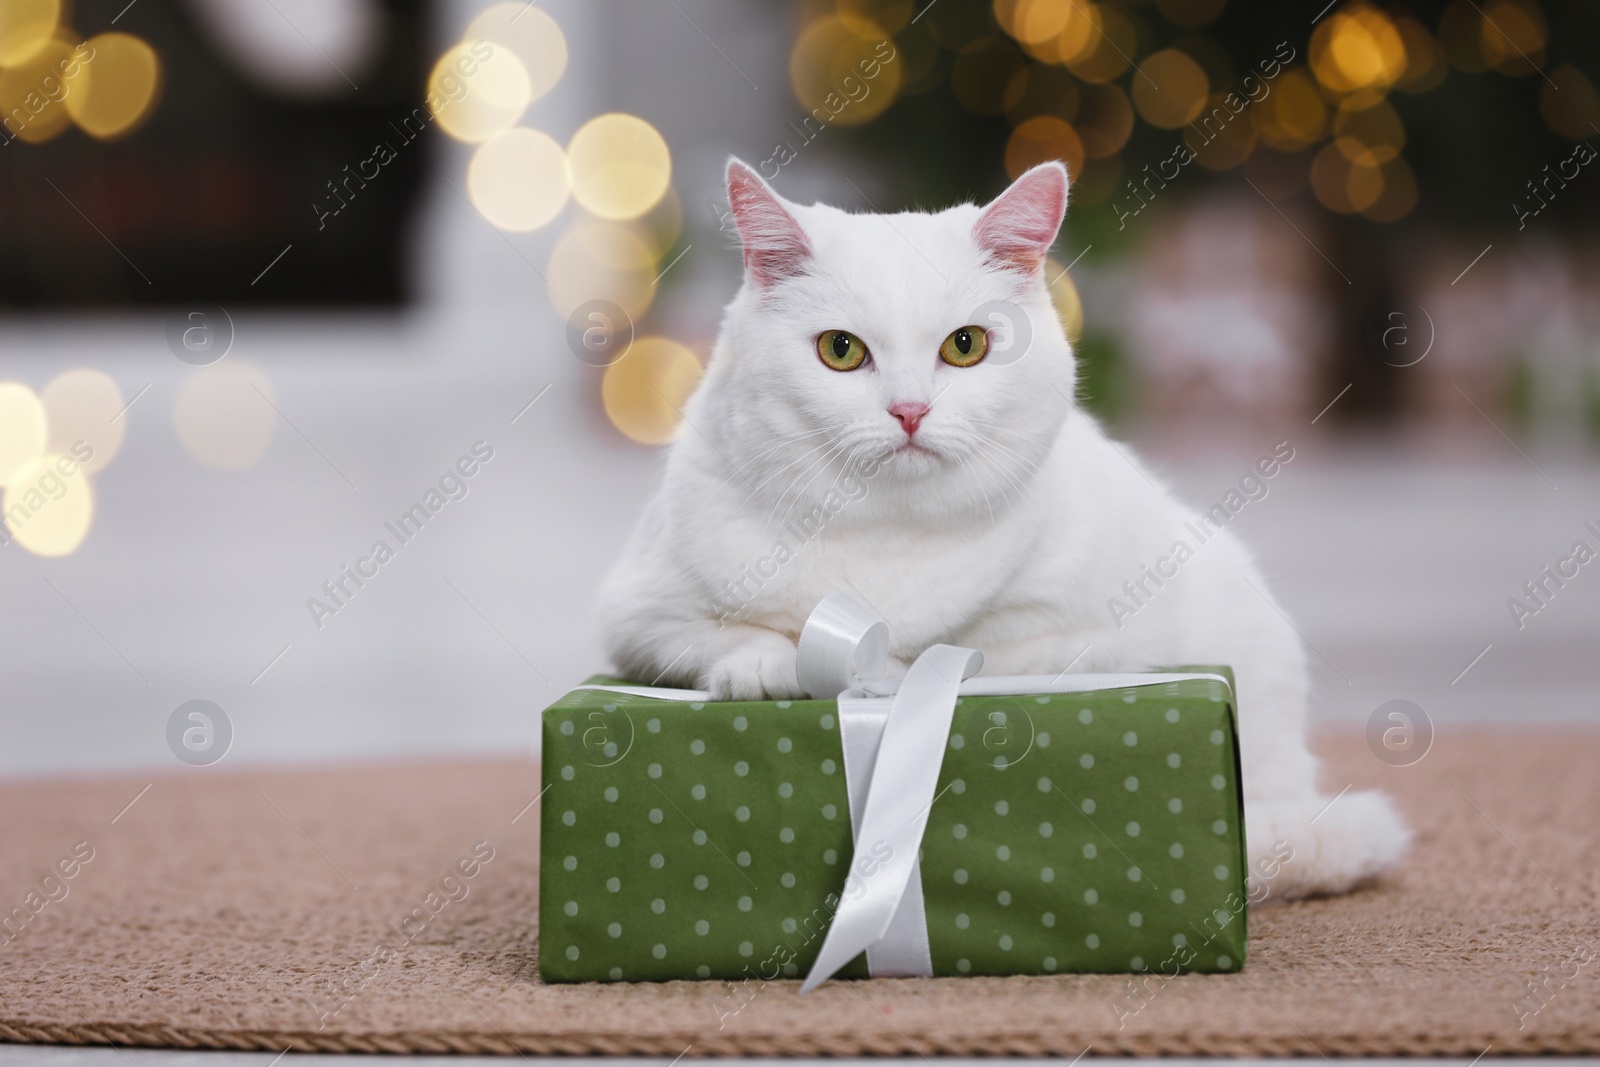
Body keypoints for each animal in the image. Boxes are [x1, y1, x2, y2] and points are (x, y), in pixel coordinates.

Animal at [601, 154, 1414, 895]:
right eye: (840, 350)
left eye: (965, 345)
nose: (909, 410)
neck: (886, 535)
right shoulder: (639, 615)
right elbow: (723, 636)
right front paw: (770, 667)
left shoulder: (1085, 633)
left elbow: (983, 651)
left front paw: (890, 669)